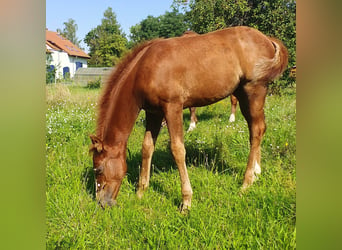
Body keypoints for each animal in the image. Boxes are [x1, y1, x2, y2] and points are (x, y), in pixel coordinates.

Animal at [89, 26, 288, 211]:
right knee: (257, 128)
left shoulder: (172, 108)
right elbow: (147, 147)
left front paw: (186, 201)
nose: (102, 203)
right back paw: (256, 172)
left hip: (254, 91)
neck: (145, 69)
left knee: (257, 130)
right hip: (243, 93)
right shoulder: (153, 113)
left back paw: (246, 183)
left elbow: (177, 149)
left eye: (98, 169)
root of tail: (267, 39)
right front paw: (141, 192)